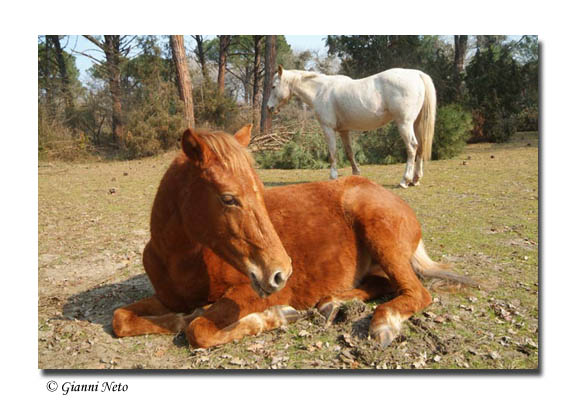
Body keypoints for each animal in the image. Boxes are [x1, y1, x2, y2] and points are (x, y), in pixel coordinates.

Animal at [113, 124, 472, 348]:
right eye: (228, 198)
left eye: (261, 192)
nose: (281, 272)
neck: (180, 260)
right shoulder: (167, 298)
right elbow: (122, 319)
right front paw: (181, 316)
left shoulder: (249, 291)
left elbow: (199, 330)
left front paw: (273, 317)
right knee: (382, 285)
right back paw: (332, 304)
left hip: (382, 239)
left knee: (415, 292)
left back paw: (381, 324)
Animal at [268, 67, 434, 189]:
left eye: (274, 86)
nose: (269, 108)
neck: (320, 90)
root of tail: (416, 74)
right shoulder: (344, 130)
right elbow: (349, 152)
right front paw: (356, 173)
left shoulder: (328, 129)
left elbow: (333, 153)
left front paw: (333, 176)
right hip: (416, 124)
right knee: (420, 147)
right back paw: (415, 179)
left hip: (404, 123)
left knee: (412, 147)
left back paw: (405, 180)